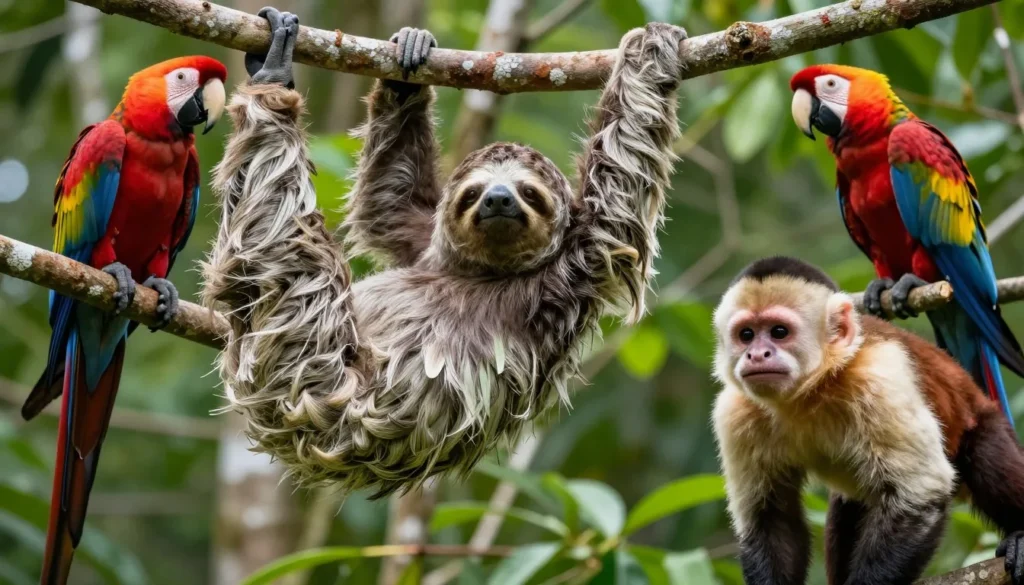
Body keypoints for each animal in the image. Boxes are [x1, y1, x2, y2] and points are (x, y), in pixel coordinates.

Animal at [201, 8, 689, 496]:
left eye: (529, 193)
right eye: (472, 194)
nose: (498, 199)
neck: (483, 272)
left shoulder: (577, 266)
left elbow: (619, 178)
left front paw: (649, 45)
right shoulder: (424, 245)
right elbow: (390, 202)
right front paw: (408, 61)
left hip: (310, 367)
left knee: (283, 231)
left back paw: (273, 82)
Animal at [710, 256, 1024, 585]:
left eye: (779, 332)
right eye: (746, 335)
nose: (757, 354)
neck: (809, 392)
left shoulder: (879, 376)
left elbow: (920, 495)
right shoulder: (734, 412)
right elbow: (771, 518)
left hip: (987, 418)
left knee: (986, 454)